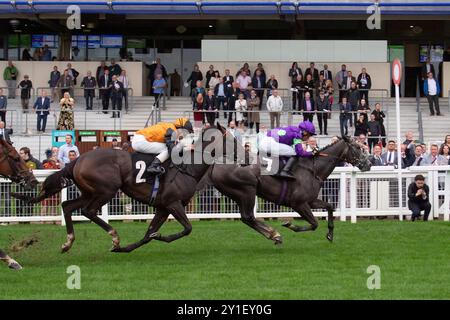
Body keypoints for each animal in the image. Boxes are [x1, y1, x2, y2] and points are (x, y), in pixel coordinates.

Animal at [12, 124, 236, 254]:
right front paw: (158, 237)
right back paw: (114, 237)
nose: (241, 153)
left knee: (67, 205)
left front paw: (130, 247)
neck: (187, 168)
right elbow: (187, 228)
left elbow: (148, 234)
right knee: (88, 211)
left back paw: (68, 243)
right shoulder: (173, 203)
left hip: (89, 191)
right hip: (106, 190)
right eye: (232, 139)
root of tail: (78, 160)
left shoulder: (163, 207)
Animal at [206, 136, 370, 244]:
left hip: (237, 193)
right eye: (358, 147)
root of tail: (216, 165)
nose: (368, 163)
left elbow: (329, 207)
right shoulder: (298, 203)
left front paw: (330, 233)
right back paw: (274, 234)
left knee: (247, 218)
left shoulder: (310, 201)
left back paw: (273, 235)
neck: (313, 169)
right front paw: (289, 225)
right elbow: (314, 224)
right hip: (247, 191)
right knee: (248, 217)